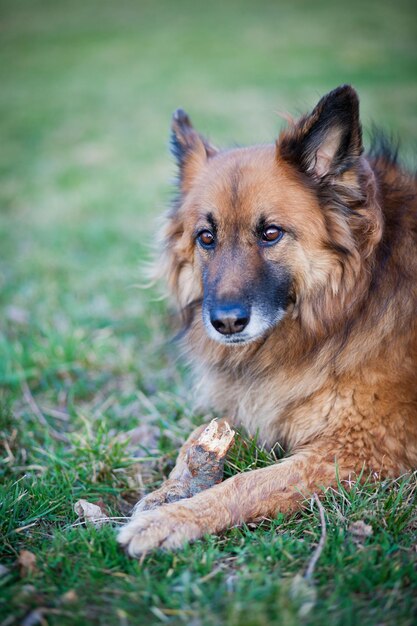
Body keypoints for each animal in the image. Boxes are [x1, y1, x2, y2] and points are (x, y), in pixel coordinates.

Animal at [117, 84, 416, 556]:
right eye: (206, 237)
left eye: (271, 233)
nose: (225, 323)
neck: (349, 304)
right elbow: (194, 440)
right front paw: (168, 492)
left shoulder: (358, 448)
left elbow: (246, 483)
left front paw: (170, 520)